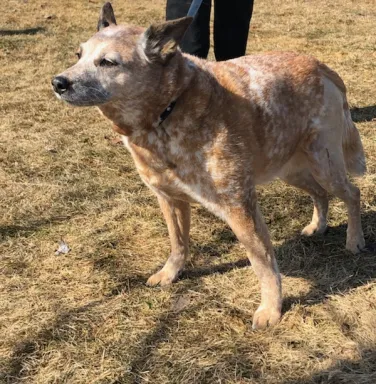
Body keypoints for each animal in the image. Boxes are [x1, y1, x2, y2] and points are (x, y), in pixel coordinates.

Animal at [51, 1, 366, 328]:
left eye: (108, 62)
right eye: (78, 55)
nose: (58, 82)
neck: (166, 111)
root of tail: (321, 66)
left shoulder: (239, 206)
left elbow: (264, 263)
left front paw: (271, 310)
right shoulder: (169, 198)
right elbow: (178, 243)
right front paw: (170, 274)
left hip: (323, 163)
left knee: (352, 193)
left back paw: (354, 240)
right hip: (292, 169)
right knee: (320, 193)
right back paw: (317, 225)